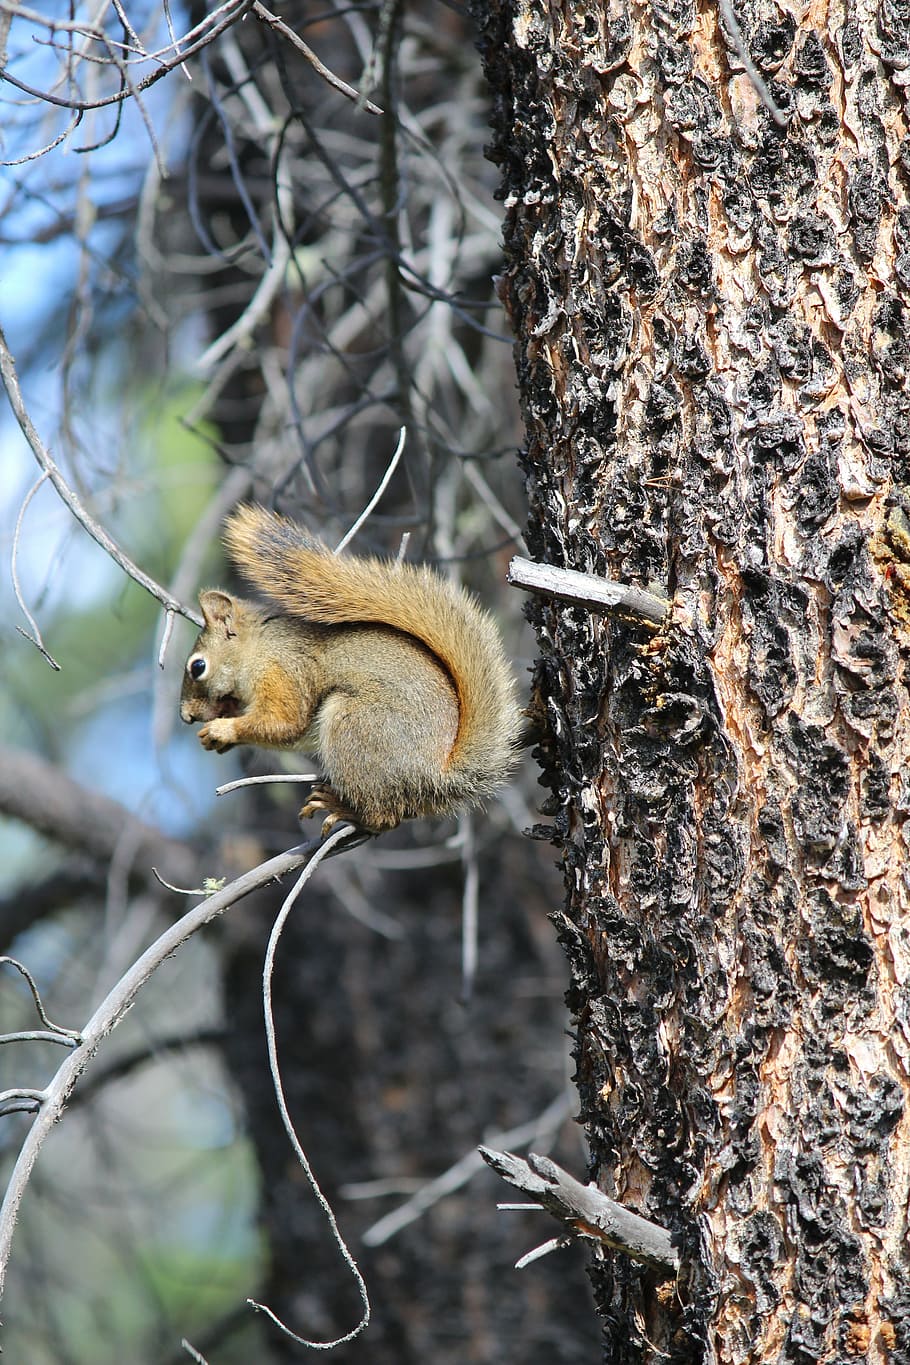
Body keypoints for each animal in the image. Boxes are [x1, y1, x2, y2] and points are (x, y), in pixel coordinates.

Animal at [180, 505, 521, 834]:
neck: (257, 649)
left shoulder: (284, 671)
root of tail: (435, 775)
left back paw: (346, 810)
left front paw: (223, 730)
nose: (186, 716)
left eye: (198, 667)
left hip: (356, 726)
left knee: (384, 817)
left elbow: (284, 723)